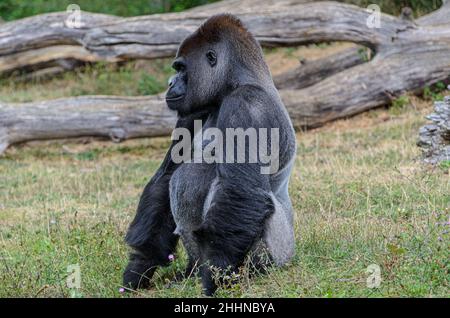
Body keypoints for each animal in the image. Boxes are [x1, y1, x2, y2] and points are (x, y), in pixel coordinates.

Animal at [125, 12, 298, 296]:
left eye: (181, 69)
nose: (169, 83)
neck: (232, 85)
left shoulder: (246, 105)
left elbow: (240, 190)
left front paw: (214, 277)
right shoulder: (190, 113)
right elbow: (166, 177)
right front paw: (140, 262)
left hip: (280, 254)